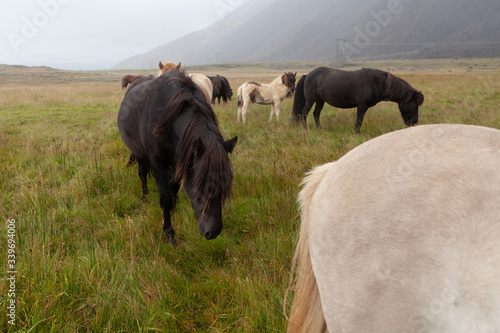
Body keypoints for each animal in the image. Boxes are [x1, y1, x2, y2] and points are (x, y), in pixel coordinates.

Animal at [117, 68, 238, 244]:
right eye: (200, 186)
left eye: (224, 185)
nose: (213, 232)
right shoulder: (157, 161)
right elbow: (165, 197)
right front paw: (169, 233)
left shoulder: (179, 159)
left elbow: (173, 186)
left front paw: (174, 207)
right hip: (139, 154)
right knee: (142, 174)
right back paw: (145, 197)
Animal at [292, 67, 424, 132]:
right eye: (414, 105)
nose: (414, 122)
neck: (376, 82)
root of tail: (307, 75)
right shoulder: (362, 106)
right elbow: (359, 120)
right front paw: (356, 133)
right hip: (311, 100)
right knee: (304, 113)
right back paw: (306, 130)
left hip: (320, 100)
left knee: (316, 114)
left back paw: (320, 129)